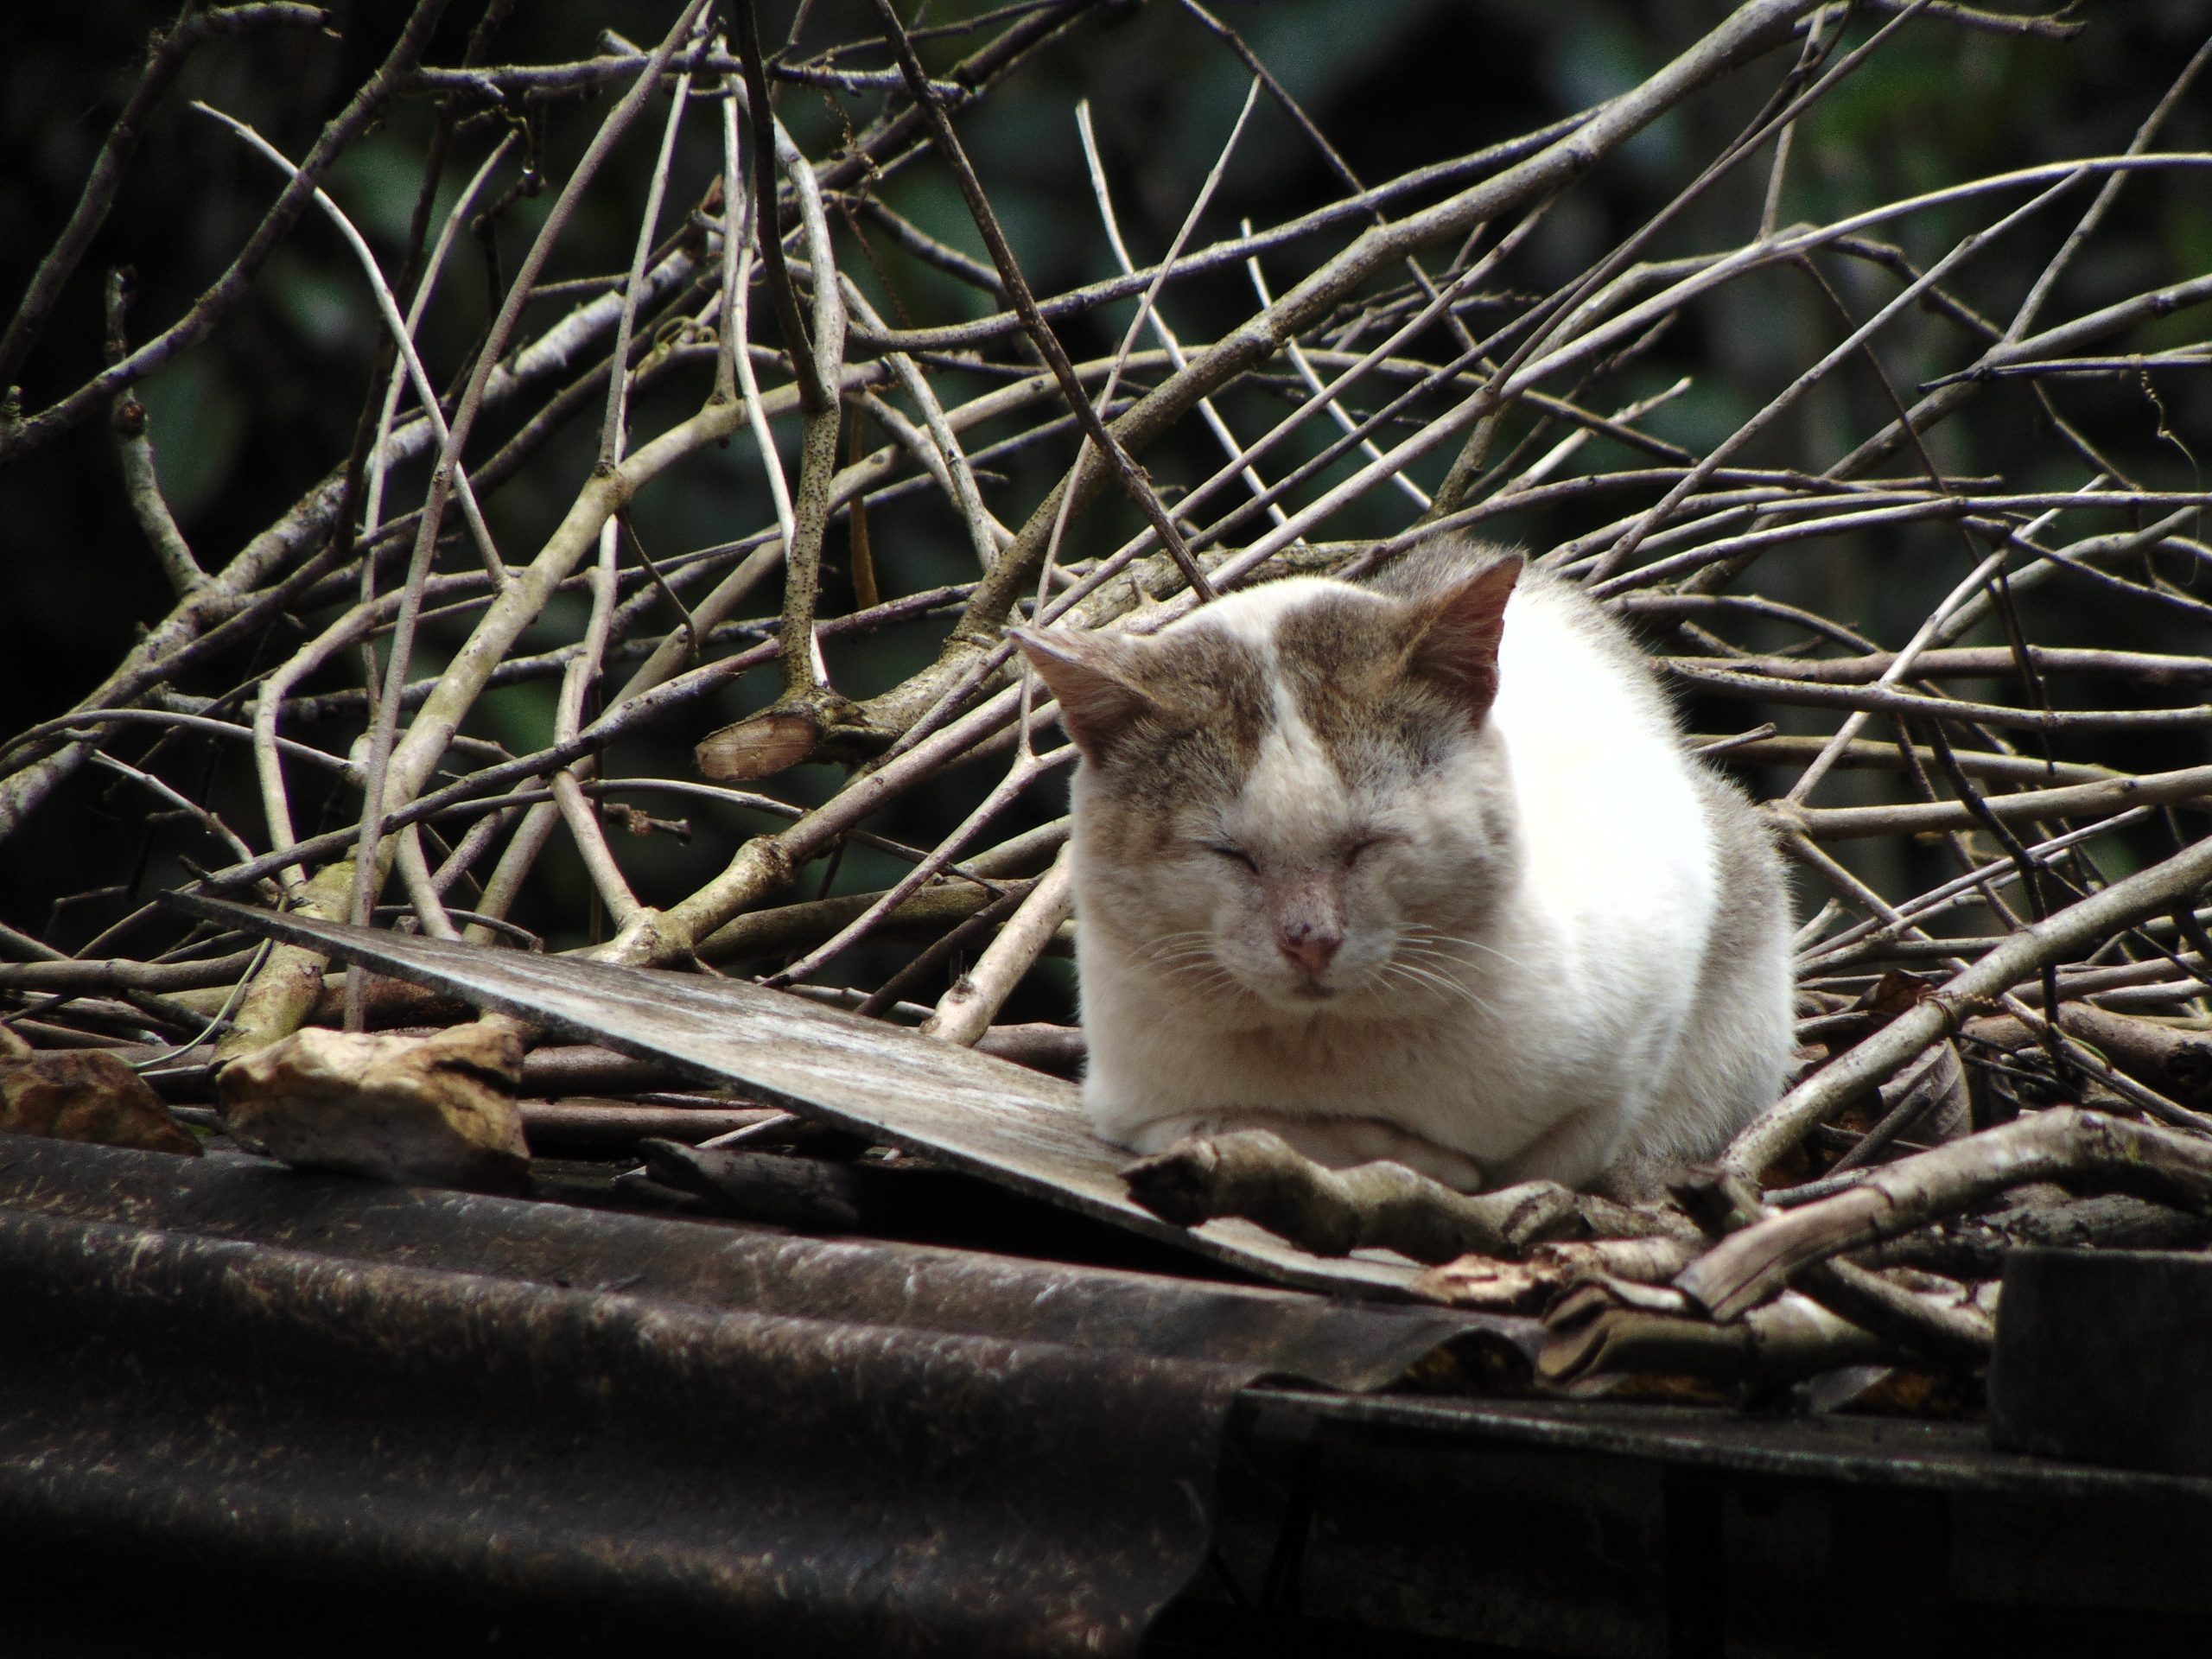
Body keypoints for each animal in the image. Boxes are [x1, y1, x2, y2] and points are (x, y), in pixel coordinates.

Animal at [1013, 539, 1787, 1203]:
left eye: (1367, 843)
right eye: (1231, 855)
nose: (1310, 940)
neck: (1330, 1053)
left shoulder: (1650, 1000)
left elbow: (1557, 1153)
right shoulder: (1128, 1104)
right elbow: (1226, 1125)